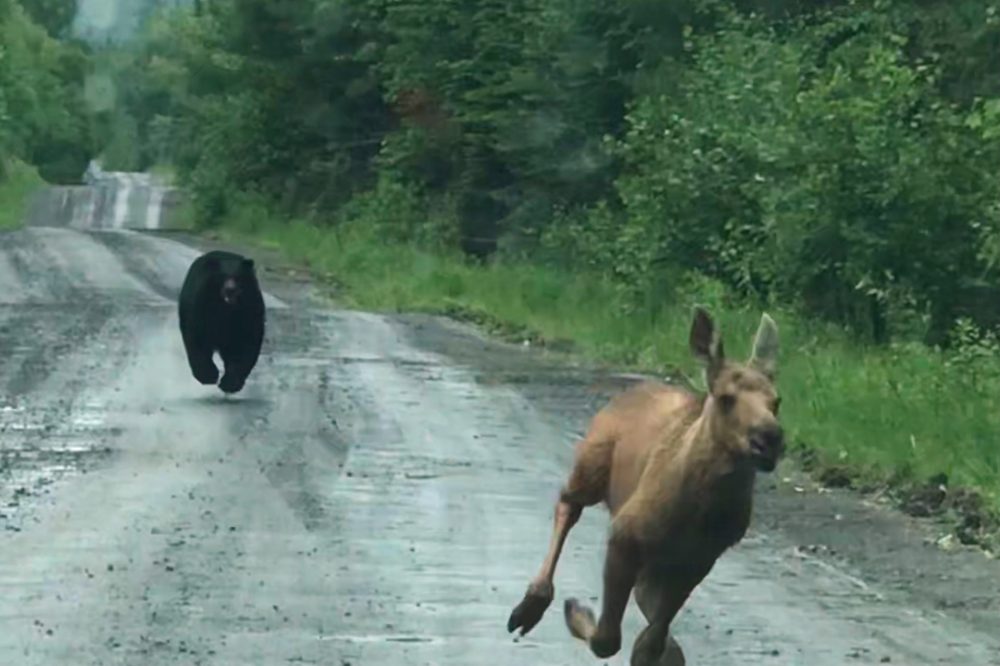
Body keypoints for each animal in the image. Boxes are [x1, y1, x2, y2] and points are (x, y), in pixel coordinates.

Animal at [178, 250, 266, 395]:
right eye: (222, 276)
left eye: (237, 277)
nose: (230, 289)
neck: (226, 309)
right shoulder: (201, 307)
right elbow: (197, 338)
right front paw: (207, 375)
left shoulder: (249, 311)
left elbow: (245, 344)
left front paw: (230, 383)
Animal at [506, 306, 784, 665]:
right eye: (726, 398)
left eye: (777, 401)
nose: (770, 438)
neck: (700, 510)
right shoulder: (625, 534)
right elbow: (608, 639)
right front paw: (578, 612)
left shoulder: (699, 559)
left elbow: (652, 638)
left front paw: (659, 650)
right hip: (591, 464)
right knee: (569, 502)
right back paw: (532, 605)